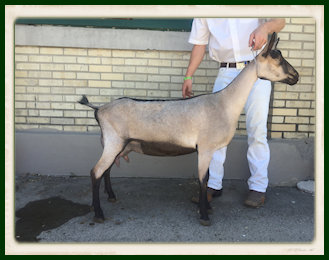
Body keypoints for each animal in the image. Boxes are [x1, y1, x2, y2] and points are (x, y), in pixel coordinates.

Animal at [79, 33, 298, 225]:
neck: (223, 103)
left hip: (119, 144)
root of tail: (99, 109)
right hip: (114, 142)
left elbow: (207, 178)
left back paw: (111, 196)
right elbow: (202, 180)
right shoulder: (205, 148)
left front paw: (207, 208)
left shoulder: (208, 149)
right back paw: (98, 213)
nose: (296, 76)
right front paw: (204, 215)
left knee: (106, 170)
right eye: (277, 58)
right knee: (96, 171)